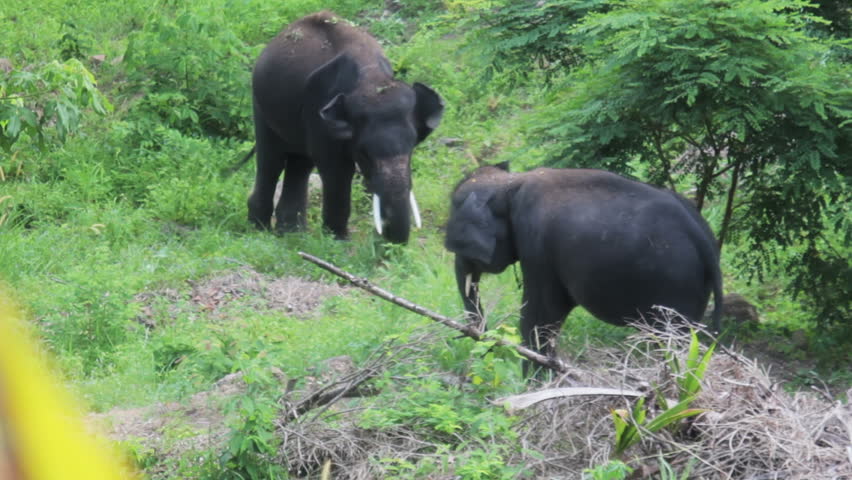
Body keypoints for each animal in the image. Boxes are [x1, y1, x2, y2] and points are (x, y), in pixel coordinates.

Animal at [246, 11, 444, 243]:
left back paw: (291, 233)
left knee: (300, 162)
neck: (372, 79)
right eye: (364, 153)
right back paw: (260, 229)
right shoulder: (318, 108)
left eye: (412, 148)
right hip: (260, 104)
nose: (386, 240)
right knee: (271, 159)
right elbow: (336, 169)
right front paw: (338, 241)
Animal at [444, 163, 723, 369]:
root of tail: (704, 239)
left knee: (670, 337)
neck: (511, 183)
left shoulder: (537, 244)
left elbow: (540, 316)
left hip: (674, 283)